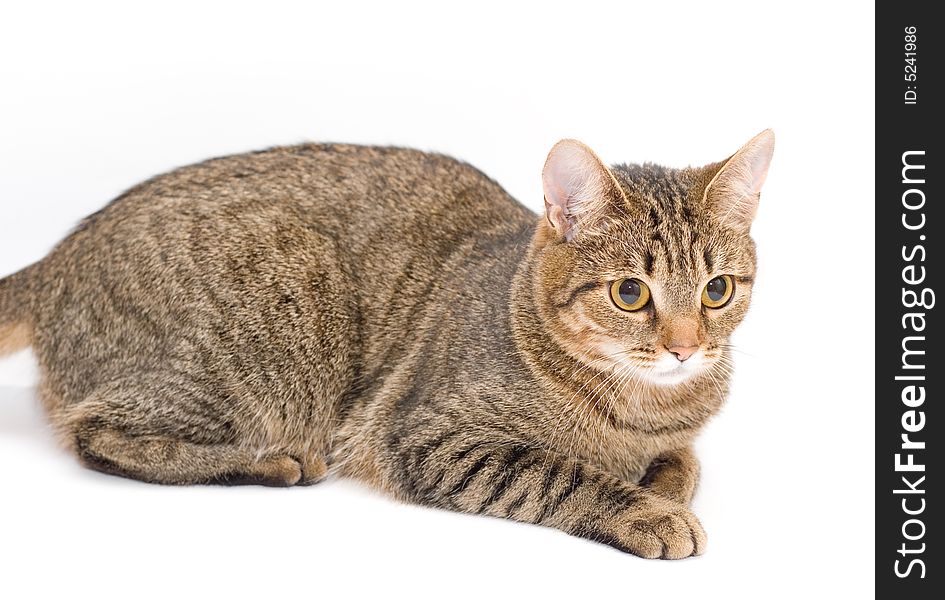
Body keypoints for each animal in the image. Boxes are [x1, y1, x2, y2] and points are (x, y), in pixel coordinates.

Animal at [0, 131, 772, 556]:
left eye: (716, 290)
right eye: (630, 294)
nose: (684, 347)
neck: (638, 409)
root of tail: (58, 258)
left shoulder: (676, 437)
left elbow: (683, 465)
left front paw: (662, 488)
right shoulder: (430, 438)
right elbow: (562, 475)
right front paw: (648, 511)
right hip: (281, 317)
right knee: (96, 434)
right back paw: (272, 462)